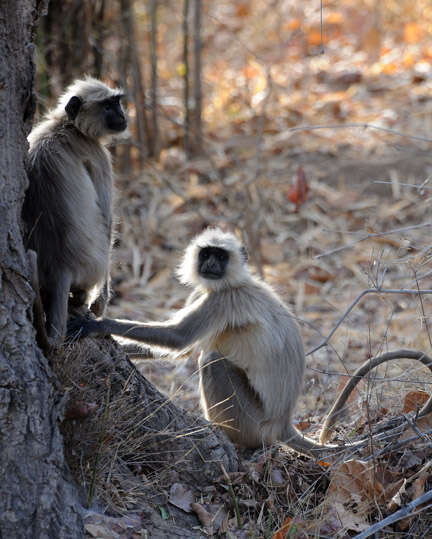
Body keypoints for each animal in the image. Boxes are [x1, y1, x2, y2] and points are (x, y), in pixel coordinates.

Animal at [22, 76, 126, 346]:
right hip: (94, 265)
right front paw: (102, 301)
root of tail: (61, 265)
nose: (123, 115)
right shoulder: (98, 155)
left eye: (117, 102)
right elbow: (107, 220)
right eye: (108, 106)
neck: (67, 126)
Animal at [68, 228, 432, 456]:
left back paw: (226, 435)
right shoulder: (205, 292)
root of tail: (283, 424)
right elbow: (180, 349)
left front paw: (95, 323)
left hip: (253, 422)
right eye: (206, 254)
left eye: (220, 256)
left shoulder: (222, 300)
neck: (233, 281)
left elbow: (178, 339)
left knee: (212, 361)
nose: (210, 264)